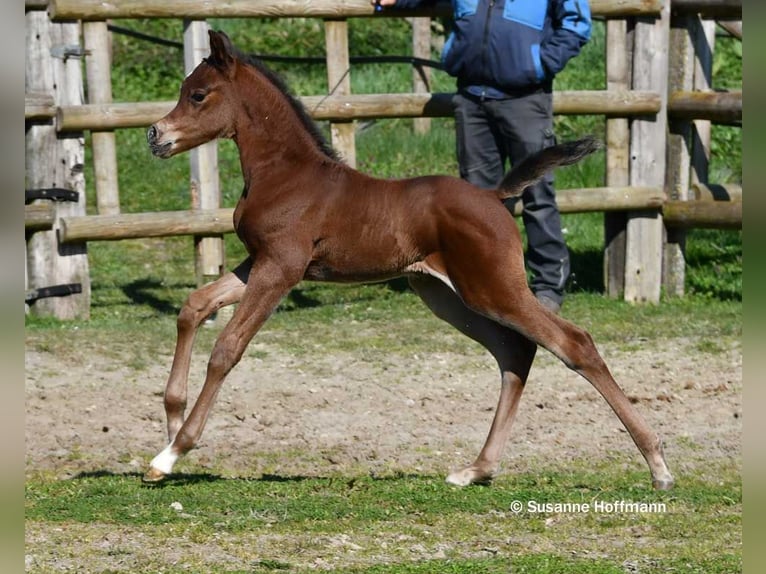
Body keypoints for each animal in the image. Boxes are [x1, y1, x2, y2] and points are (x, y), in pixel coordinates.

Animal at [144, 30, 674, 490]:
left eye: (198, 95)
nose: (154, 136)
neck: (288, 174)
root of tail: (493, 196)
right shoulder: (259, 262)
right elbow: (194, 306)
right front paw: (170, 418)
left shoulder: (281, 269)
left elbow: (227, 348)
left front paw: (172, 454)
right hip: (447, 295)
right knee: (514, 353)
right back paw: (477, 469)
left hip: (493, 288)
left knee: (573, 343)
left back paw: (658, 464)